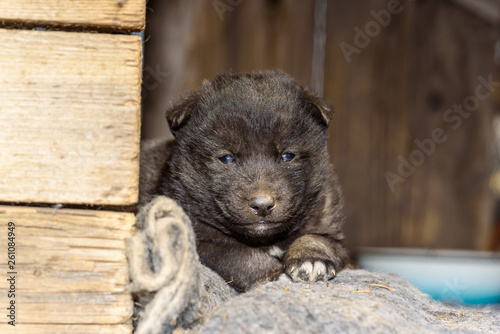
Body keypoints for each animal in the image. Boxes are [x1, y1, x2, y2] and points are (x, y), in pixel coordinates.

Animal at [141, 70, 348, 292]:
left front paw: (310, 258)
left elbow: (319, 238)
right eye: (226, 158)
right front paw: (274, 275)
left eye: (288, 156)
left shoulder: (331, 223)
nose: (262, 205)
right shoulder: (197, 237)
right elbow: (238, 255)